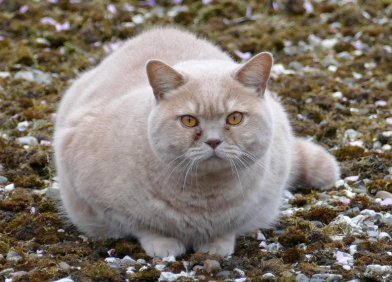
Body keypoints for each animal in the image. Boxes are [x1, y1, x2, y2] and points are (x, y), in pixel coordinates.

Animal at [55, 27, 340, 258]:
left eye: (234, 118)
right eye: (189, 121)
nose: (213, 141)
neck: (204, 199)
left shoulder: (259, 203)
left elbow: (229, 227)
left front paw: (216, 245)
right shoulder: (98, 199)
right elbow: (143, 225)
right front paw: (164, 244)